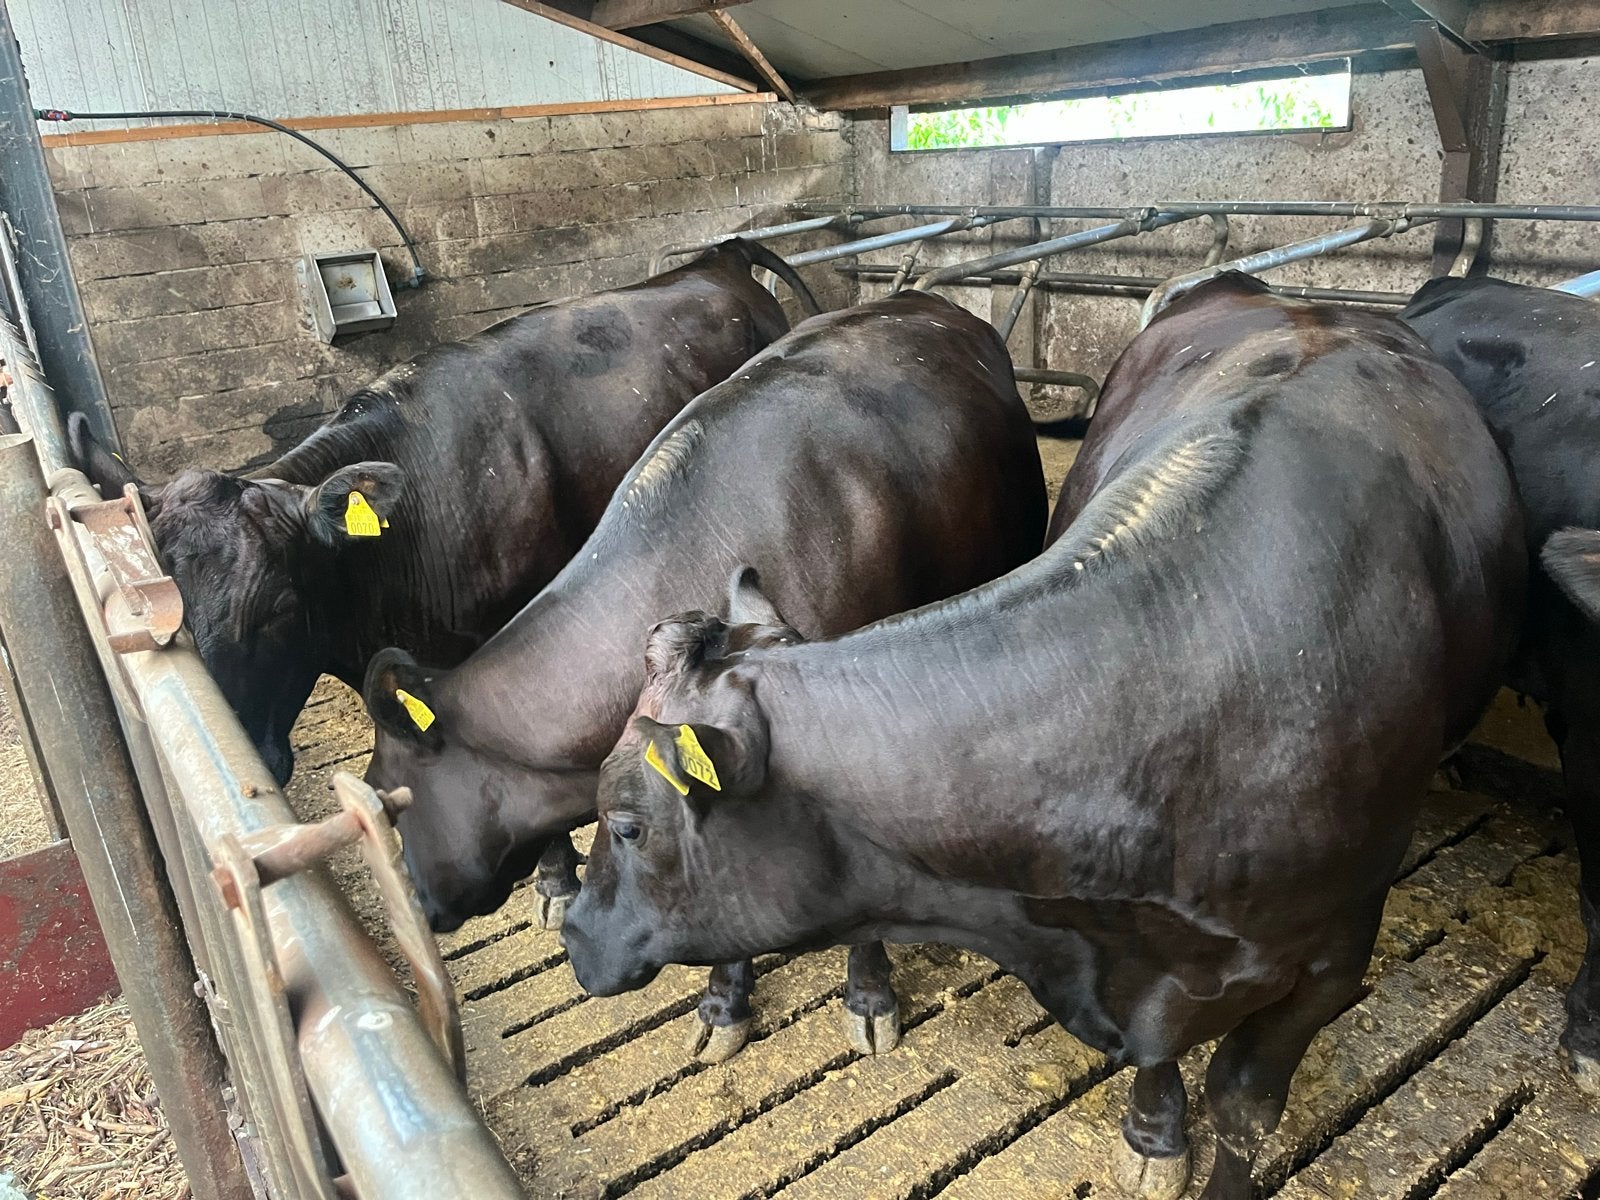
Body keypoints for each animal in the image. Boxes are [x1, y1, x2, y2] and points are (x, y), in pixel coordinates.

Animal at [563, 274, 1525, 1199]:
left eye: (627, 822)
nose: (573, 931)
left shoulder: (1330, 963)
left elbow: (1246, 1114)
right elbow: (1167, 1056)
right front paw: (1156, 1132)